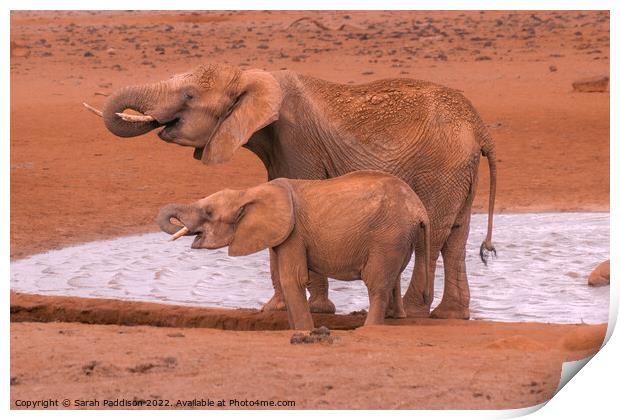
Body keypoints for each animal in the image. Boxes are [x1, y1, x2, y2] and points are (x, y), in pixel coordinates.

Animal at [160, 170, 428, 328]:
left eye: (208, 212)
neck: (247, 192)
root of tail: (420, 210)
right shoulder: (283, 235)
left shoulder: (294, 233)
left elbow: (292, 279)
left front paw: (304, 331)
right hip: (398, 239)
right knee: (393, 280)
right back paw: (394, 318)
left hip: (387, 236)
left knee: (377, 284)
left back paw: (369, 328)